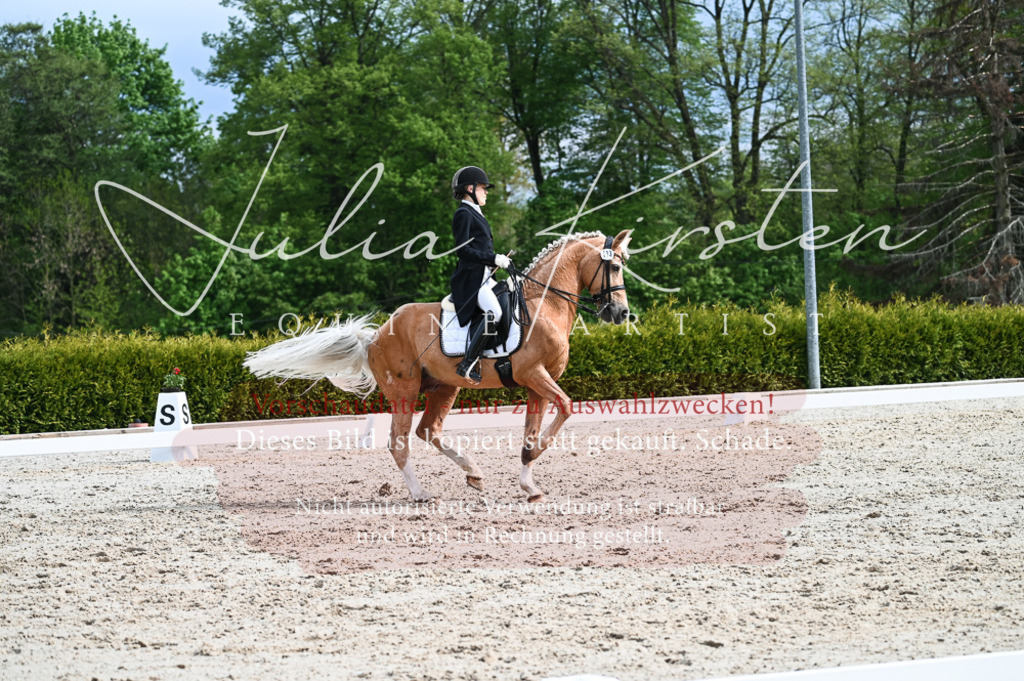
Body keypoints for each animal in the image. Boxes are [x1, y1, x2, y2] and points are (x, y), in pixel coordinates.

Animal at [244, 229, 632, 502]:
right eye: (614, 266)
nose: (621, 313)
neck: (544, 304)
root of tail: (375, 336)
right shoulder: (533, 375)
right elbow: (565, 407)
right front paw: (530, 463)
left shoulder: (537, 383)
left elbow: (534, 430)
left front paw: (529, 483)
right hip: (405, 390)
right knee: (399, 442)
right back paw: (421, 494)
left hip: (444, 386)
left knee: (428, 431)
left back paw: (473, 473)